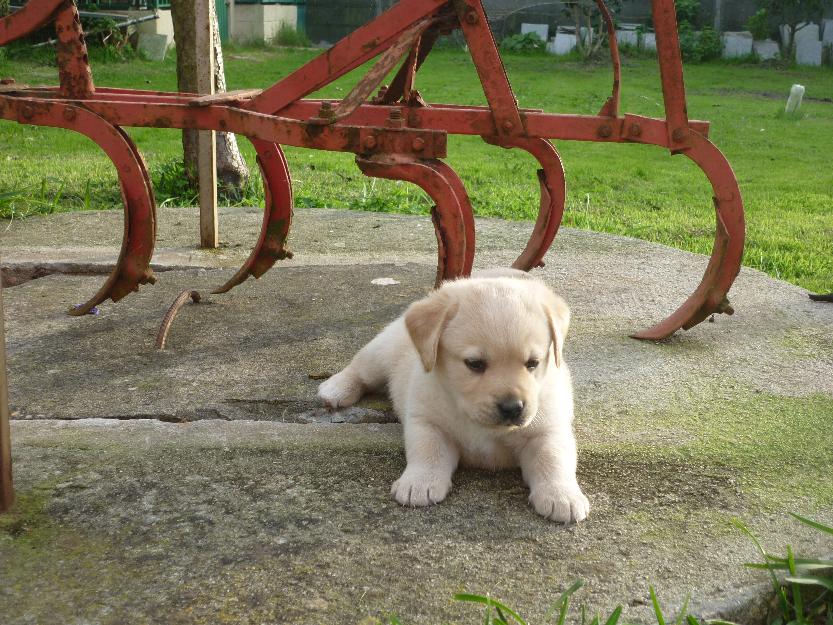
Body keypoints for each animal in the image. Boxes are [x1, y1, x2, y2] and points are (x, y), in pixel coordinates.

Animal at [318, 266, 592, 520]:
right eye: (475, 364)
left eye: (533, 363)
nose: (513, 408)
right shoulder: (427, 421)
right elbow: (428, 450)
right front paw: (419, 482)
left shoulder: (548, 429)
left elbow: (553, 457)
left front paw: (562, 495)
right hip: (381, 352)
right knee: (359, 369)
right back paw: (336, 388)